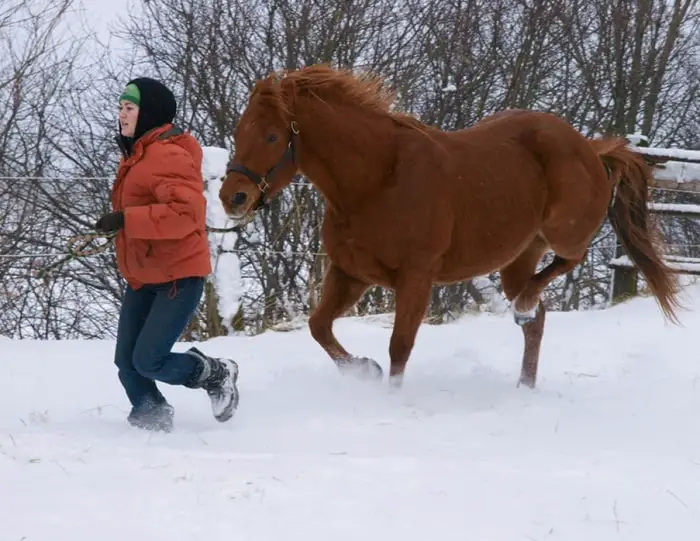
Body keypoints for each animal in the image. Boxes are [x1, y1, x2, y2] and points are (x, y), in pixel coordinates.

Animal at [219, 64, 680, 388]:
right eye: (240, 131)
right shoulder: (350, 273)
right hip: (518, 257)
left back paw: (524, 307)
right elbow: (319, 327)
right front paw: (364, 370)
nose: (232, 197)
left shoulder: (416, 277)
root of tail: (590, 148)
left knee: (569, 262)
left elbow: (399, 346)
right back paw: (523, 384)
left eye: (273, 137)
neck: (377, 180)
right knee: (538, 320)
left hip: (562, 232)